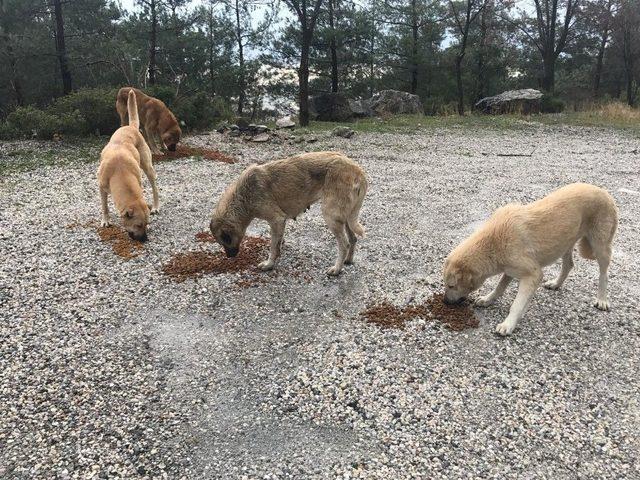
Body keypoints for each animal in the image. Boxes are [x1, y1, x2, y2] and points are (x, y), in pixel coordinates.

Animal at [99, 88, 162, 242]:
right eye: (138, 225)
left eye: (147, 224)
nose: (145, 239)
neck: (119, 171)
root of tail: (131, 126)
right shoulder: (101, 188)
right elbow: (104, 206)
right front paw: (105, 220)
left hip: (148, 167)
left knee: (154, 188)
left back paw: (155, 206)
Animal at [210, 152, 368, 276]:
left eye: (225, 240)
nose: (230, 256)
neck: (243, 196)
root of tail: (357, 170)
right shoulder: (279, 223)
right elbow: (277, 242)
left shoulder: (276, 219)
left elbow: (273, 246)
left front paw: (269, 264)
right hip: (346, 217)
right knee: (353, 239)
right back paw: (348, 260)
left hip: (331, 216)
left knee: (344, 244)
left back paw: (337, 269)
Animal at [442, 182, 616, 336]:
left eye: (451, 286)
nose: (444, 302)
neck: (493, 242)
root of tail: (605, 192)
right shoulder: (510, 269)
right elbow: (499, 287)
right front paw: (488, 299)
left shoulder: (533, 274)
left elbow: (517, 304)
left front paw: (508, 324)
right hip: (566, 243)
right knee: (568, 265)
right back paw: (556, 284)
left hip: (600, 246)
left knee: (604, 273)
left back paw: (602, 299)